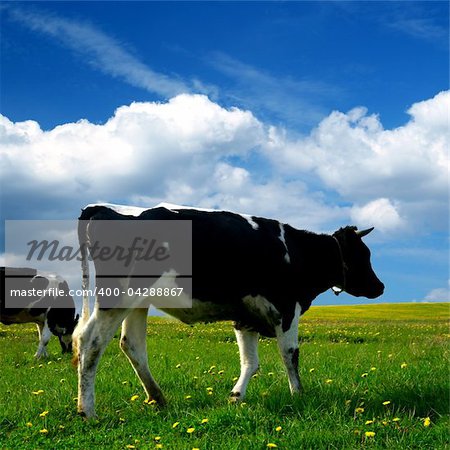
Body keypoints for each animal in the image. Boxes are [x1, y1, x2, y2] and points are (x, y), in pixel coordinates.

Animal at [74, 202, 384, 416]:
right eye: (364, 254)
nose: (380, 287)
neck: (297, 251)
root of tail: (99, 207)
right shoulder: (287, 308)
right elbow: (290, 355)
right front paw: (298, 395)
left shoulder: (246, 317)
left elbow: (251, 362)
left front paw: (236, 396)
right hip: (118, 298)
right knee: (90, 341)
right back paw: (87, 410)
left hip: (137, 302)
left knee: (131, 345)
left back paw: (158, 398)